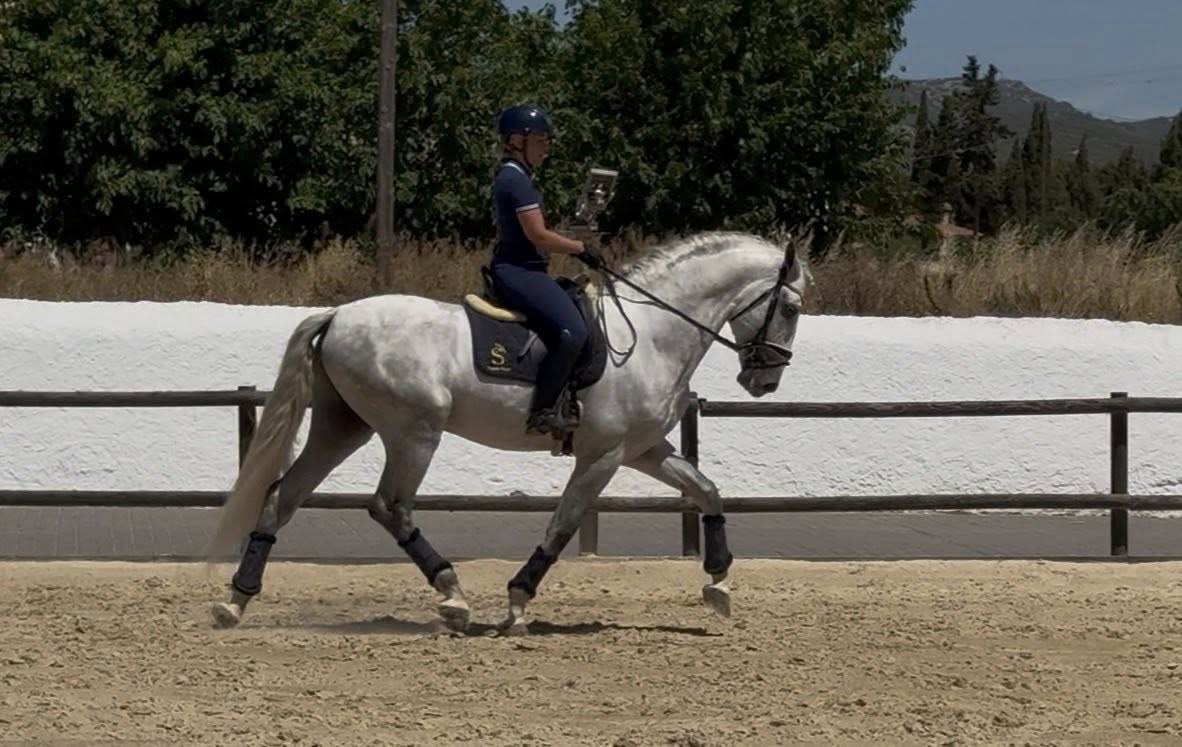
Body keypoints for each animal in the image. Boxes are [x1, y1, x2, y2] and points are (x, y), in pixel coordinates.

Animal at [206, 231, 809, 634]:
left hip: (343, 426)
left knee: (283, 495)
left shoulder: (642, 449)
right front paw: (518, 602)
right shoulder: (603, 455)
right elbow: (563, 525)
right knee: (389, 505)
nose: (765, 379)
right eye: (791, 307)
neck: (653, 333)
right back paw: (452, 596)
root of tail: (337, 315)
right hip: (414, 431)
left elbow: (706, 490)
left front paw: (719, 583)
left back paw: (236, 599)